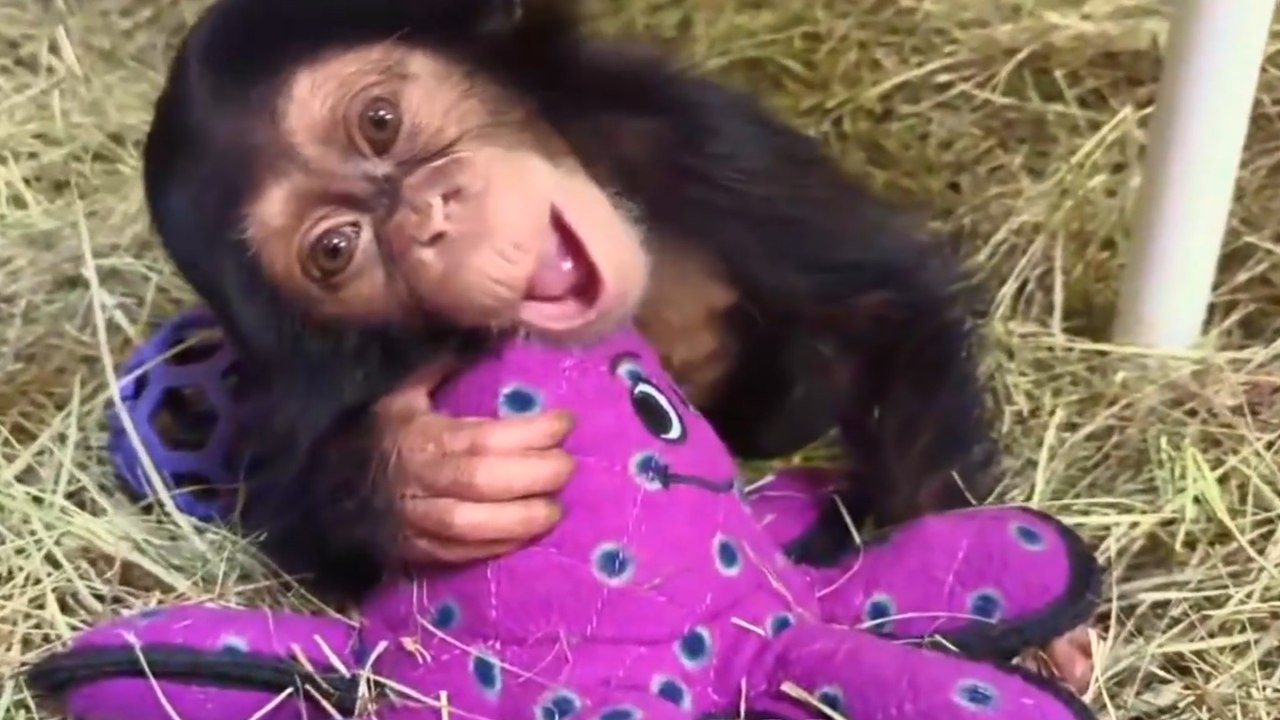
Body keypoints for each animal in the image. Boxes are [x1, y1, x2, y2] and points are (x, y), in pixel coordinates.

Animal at [140, 0, 1094, 694]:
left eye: (379, 121)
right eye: (336, 250)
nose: (426, 220)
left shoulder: (698, 141)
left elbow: (880, 312)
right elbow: (279, 495)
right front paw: (413, 475)